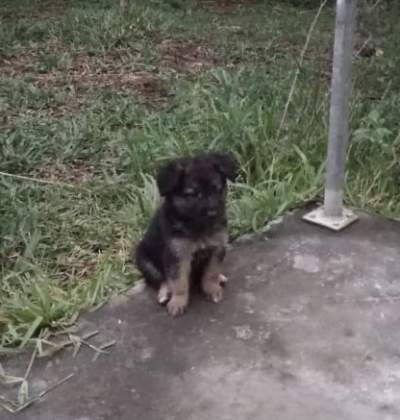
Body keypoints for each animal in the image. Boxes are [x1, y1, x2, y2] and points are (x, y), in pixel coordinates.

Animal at [136, 153, 238, 316]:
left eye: (217, 190)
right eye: (194, 195)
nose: (213, 213)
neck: (197, 225)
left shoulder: (217, 248)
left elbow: (211, 272)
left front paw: (212, 289)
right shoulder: (177, 255)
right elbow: (178, 282)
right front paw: (178, 302)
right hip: (144, 260)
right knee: (161, 279)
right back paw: (165, 292)